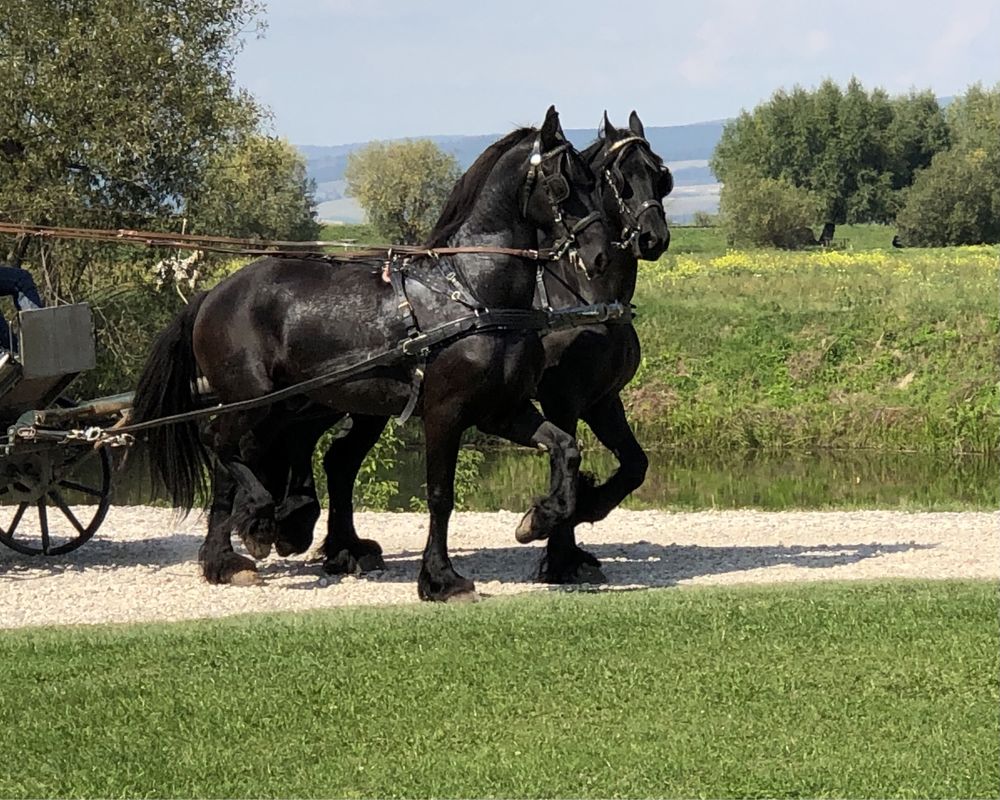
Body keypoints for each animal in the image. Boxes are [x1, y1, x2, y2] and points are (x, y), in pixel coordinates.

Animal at [132, 109, 608, 604]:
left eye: (595, 180)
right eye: (562, 184)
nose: (598, 255)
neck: (472, 292)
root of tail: (212, 294)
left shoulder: (502, 411)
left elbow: (566, 448)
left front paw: (540, 518)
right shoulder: (445, 413)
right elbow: (441, 495)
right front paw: (441, 579)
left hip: (284, 404)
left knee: (245, 458)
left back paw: (232, 556)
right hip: (253, 399)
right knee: (219, 443)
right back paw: (256, 527)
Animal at [235, 109, 672, 584]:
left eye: (660, 175)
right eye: (619, 179)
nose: (653, 238)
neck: (583, 296)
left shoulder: (602, 400)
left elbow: (633, 465)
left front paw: (580, 515)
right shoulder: (562, 399)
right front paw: (560, 551)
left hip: (354, 402)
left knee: (334, 459)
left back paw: (335, 544)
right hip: (320, 399)